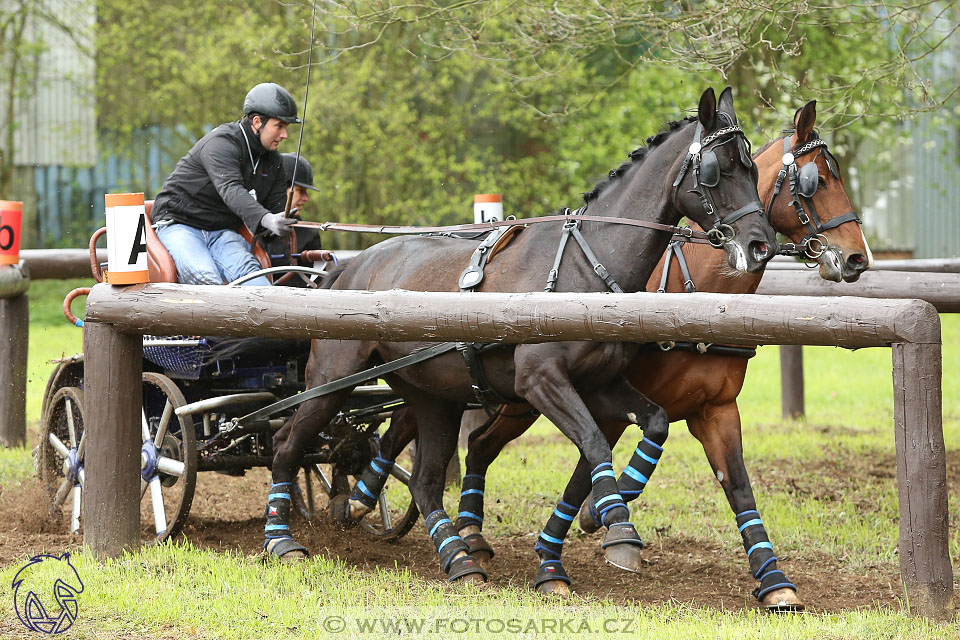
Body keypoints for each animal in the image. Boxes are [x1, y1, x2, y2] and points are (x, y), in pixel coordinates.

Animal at [264, 86, 780, 584]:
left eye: (752, 167)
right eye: (717, 170)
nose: (761, 245)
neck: (583, 271)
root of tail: (350, 268)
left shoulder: (601, 384)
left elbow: (647, 426)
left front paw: (607, 511)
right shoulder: (541, 382)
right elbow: (594, 441)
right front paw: (618, 530)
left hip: (433, 397)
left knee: (425, 480)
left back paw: (458, 559)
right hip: (333, 381)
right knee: (288, 442)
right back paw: (281, 540)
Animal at [400, 100, 872, 604]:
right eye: (815, 181)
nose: (858, 258)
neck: (695, 293)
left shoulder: (716, 409)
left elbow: (738, 486)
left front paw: (774, 581)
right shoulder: (601, 403)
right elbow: (585, 473)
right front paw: (583, 538)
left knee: (479, 445)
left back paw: (469, 535)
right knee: (469, 444)